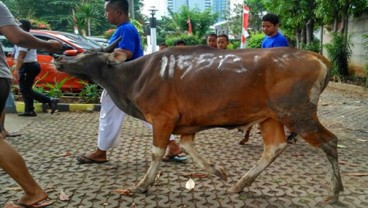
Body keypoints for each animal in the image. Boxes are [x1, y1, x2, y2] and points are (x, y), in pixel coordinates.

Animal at [53, 45, 344, 203]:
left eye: (84, 53)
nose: (59, 57)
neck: (133, 77)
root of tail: (318, 58)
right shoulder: (186, 126)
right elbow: (187, 148)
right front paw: (219, 171)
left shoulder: (162, 118)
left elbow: (157, 152)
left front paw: (142, 185)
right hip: (270, 116)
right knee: (275, 147)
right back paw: (240, 184)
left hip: (297, 113)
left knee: (330, 141)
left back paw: (334, 191)